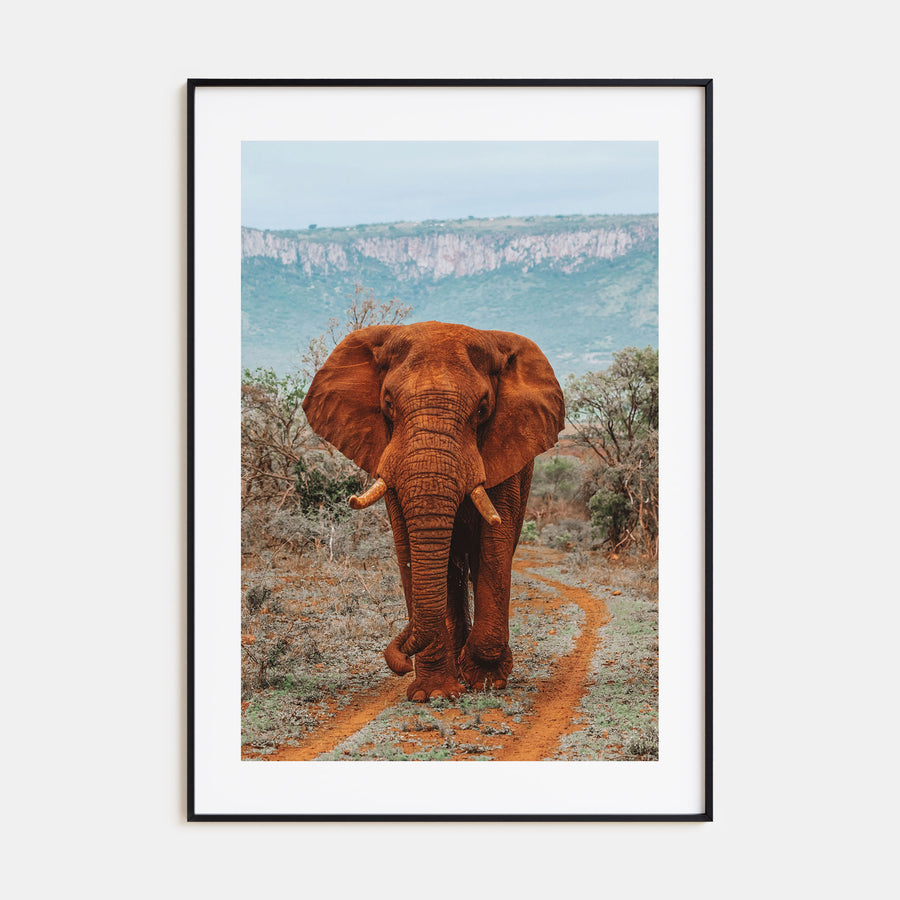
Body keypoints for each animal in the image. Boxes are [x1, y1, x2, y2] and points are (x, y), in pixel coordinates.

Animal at [302, 321, 565, 701]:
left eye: (483, 409)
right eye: (387, 403)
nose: (398, 661)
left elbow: (495, 542)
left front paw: (487, 681)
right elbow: (407, 546)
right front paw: (434, 694)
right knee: (452, 570)